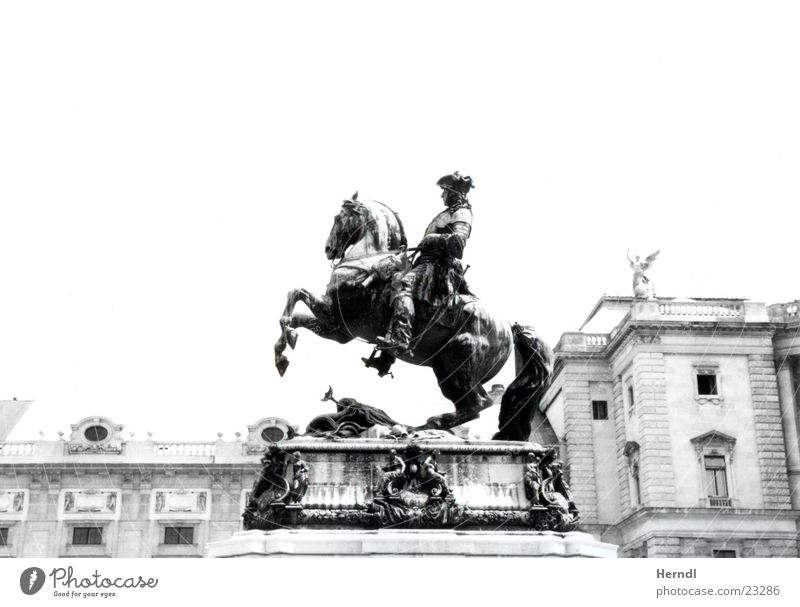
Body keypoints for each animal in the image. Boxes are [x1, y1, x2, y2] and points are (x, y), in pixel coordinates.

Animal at [276, 197, 552, 440]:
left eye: (337, 218)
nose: (328, 250)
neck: (367, 259)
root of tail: (508, 328)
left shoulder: (337, 319)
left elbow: (294, 293)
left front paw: (284, 349)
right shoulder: (337, 329)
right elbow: (294, 308)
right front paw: (284, 349)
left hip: (458, 364)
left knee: (478, 403)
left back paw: (428, 424)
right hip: (446, 370)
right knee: (471, 406)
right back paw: (417, 426)